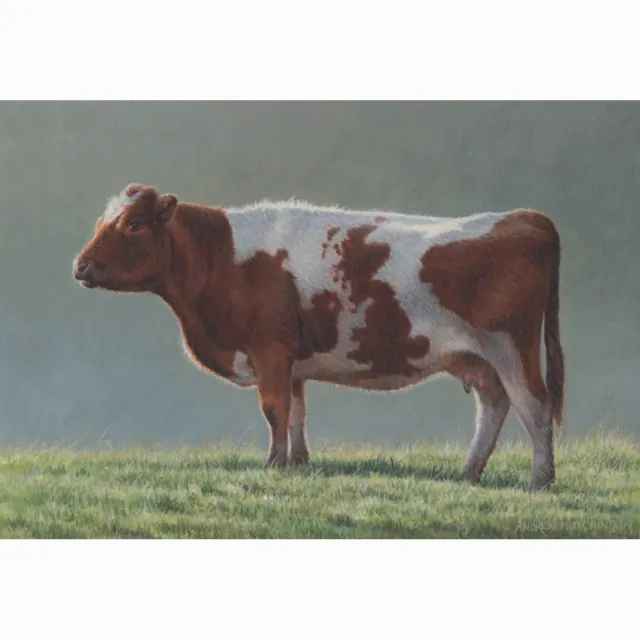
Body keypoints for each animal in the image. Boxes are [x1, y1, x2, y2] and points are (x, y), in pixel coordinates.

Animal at [73, 184, 565, 492]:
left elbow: (274, 410)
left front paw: (273, 465)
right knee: (494, 407)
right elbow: (296, 412)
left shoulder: (269, 350)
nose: (80, 265)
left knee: (535, 407)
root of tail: (524, 216)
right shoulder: (290, 360)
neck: (222, 257)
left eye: (133, 225)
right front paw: (297, 462)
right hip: (481, 358)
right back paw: (468, 473)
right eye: (100, 221)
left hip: (511, 347)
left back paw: (540, 482)